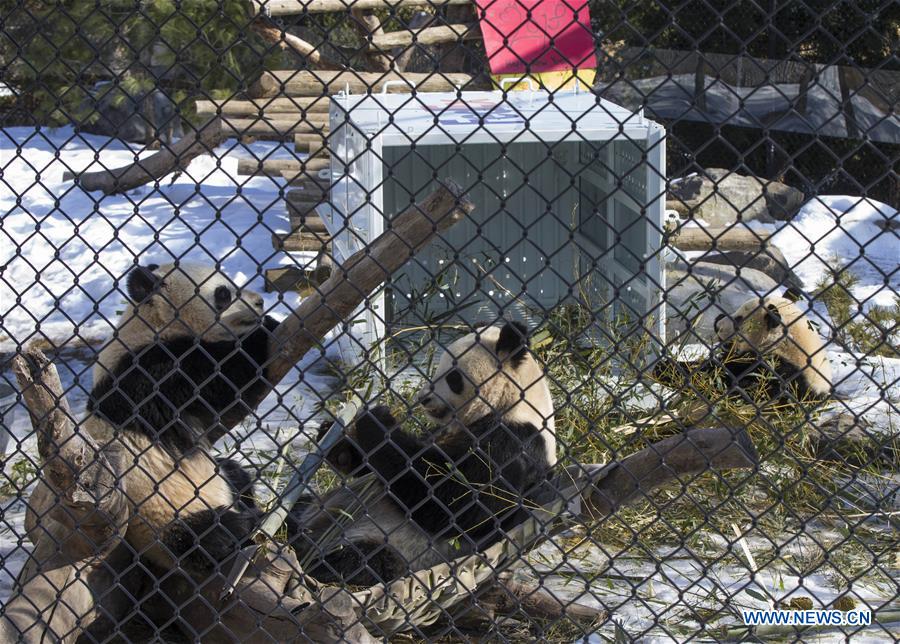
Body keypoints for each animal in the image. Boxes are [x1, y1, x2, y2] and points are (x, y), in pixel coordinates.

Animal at [85, 262, 276, 572]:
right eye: (223, 293)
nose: (259, 301)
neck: (152, 322)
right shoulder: (150, 371)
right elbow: (221, 376)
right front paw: (264, 330)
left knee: (236, 474)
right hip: (163, 513)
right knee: (203, 535)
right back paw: (241, 526)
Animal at [292, 320, 556, 588]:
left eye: (453, 377)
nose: (423, 398)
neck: (512, 402)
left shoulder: (513, 443)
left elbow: (455, 502)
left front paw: (378, 420)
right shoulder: (441, 431)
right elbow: (381, 467)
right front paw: (337, 444)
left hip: (392, 545)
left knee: (365, 560)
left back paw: (310, 558)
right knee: (302, 506)